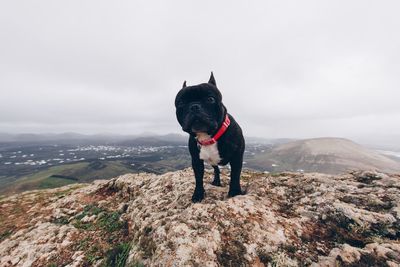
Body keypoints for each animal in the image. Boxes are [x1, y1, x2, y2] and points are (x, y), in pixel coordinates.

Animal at [176, 73, 247, 203]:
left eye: (210, 99)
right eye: (181, 103)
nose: (194, 106)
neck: (209, 136)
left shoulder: (237, 157)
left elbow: (235, 175)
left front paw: (235, 192)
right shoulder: (196, 161)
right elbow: (198, 178)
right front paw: (198, 194)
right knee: (216, 169)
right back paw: (216, 181)